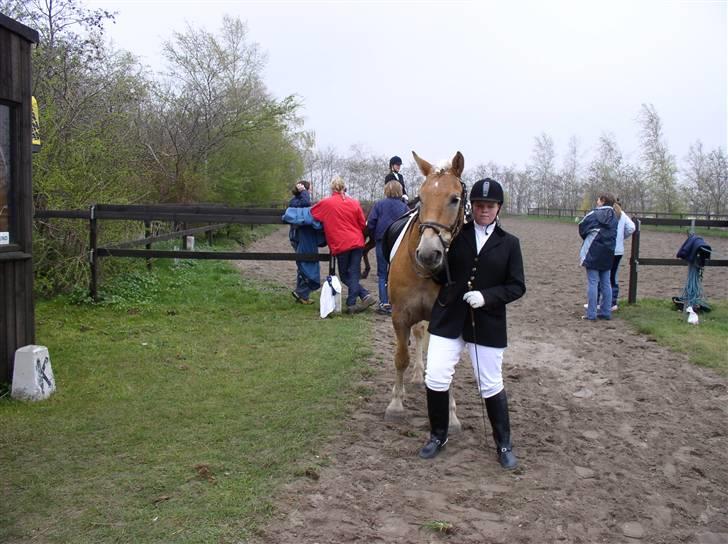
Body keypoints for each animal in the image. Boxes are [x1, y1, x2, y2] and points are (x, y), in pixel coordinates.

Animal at [386, 150, 466, 430]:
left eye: (455, 199)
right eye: (421, 198)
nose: (429, 254)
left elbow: (447, 367)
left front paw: (452, 415)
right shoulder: (400, 316)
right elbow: (401, 357)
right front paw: (396, 404)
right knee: (420, 335)